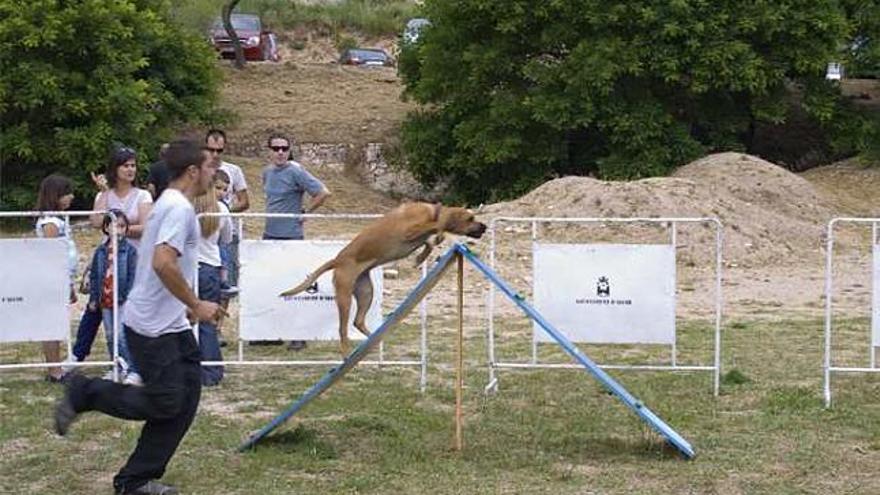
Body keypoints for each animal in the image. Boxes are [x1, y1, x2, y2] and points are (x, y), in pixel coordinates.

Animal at [280, 202, 488, 356]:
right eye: (470, 218)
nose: (484, 226)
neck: (432, 212)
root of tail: (337, 260)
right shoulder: (410, 230)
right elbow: (437, 227)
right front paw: (435, 238)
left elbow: (432, 241)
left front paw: (421, 257)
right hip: (344, 295)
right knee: (343, 328)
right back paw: (346, 352)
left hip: (366, 291)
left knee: (358, 321)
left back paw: (373, 339)